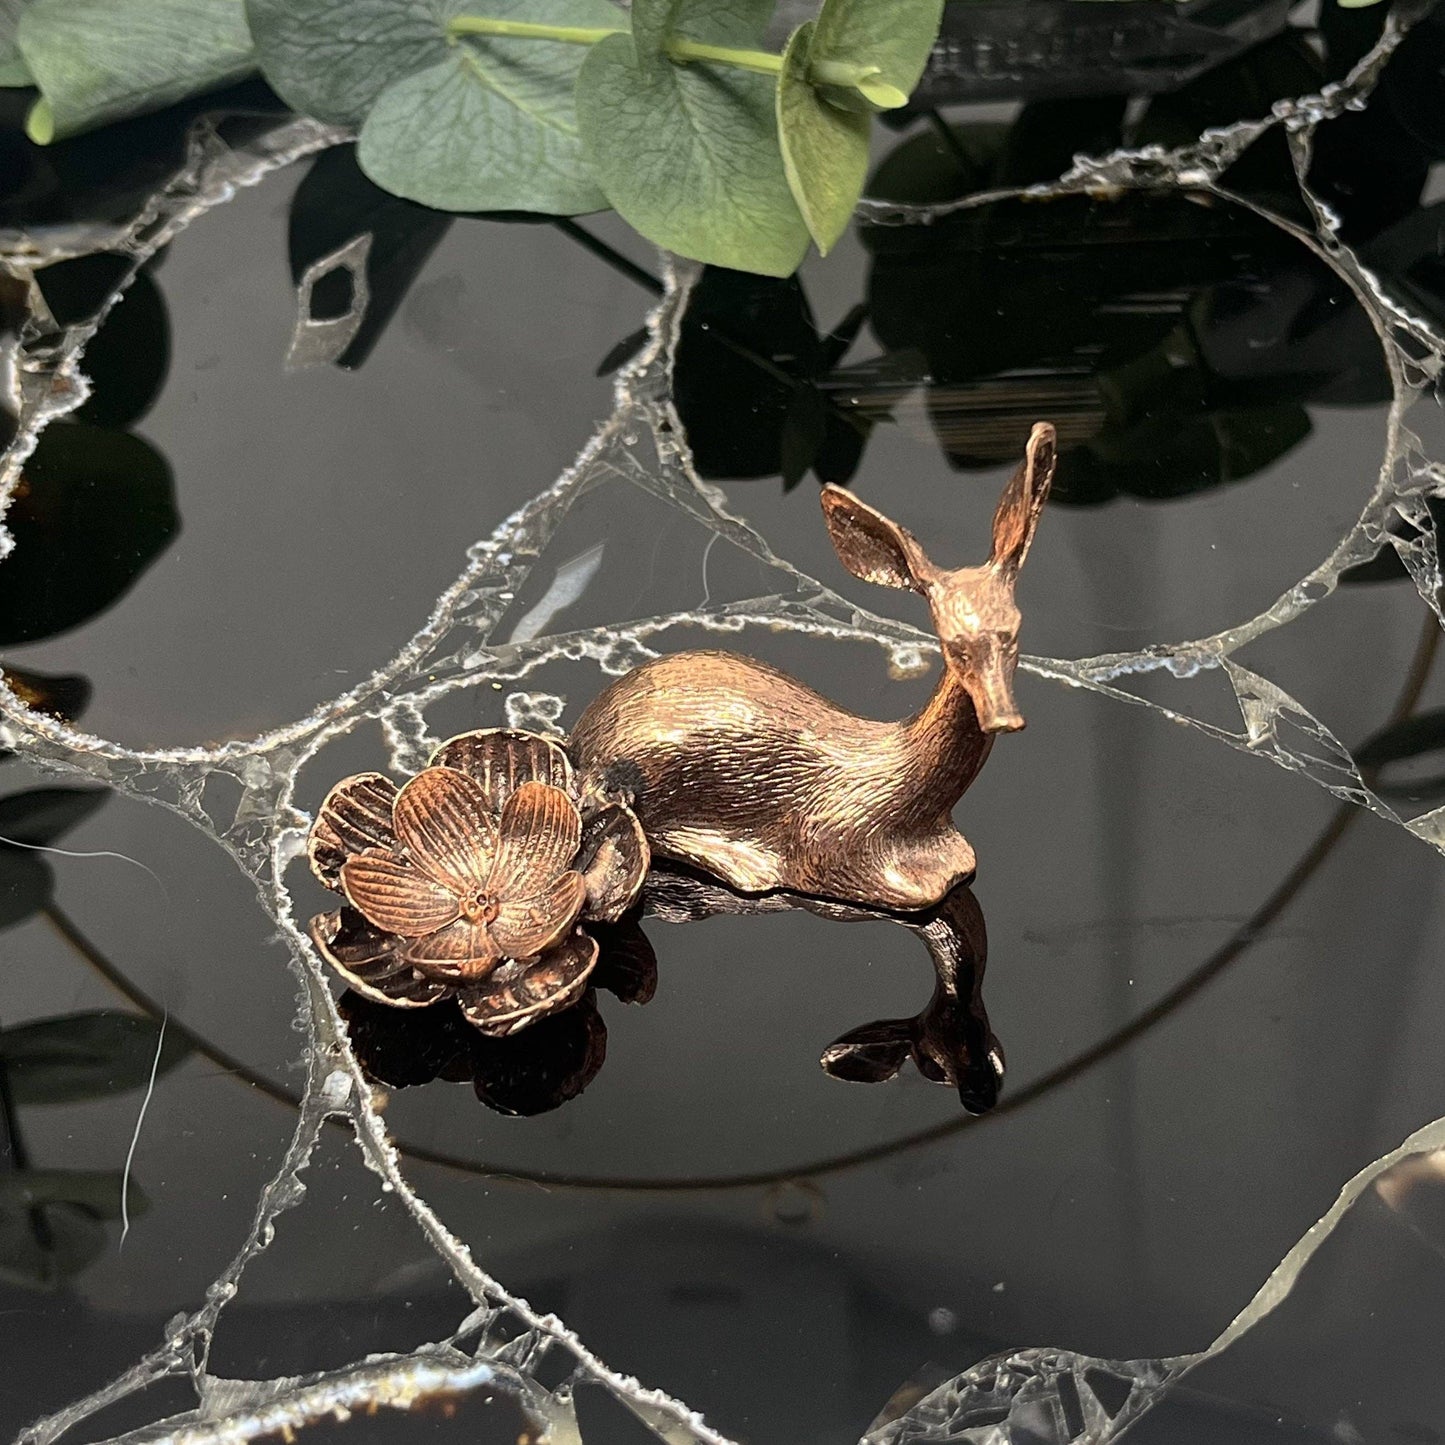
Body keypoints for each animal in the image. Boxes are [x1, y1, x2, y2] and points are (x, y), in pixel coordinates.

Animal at [568, 422, 1057, 914]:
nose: (1004, 715)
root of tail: (581, 740)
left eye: (1015, 630)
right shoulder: (830, 840)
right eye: (954, 643)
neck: (912, 805)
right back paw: (740, 860)